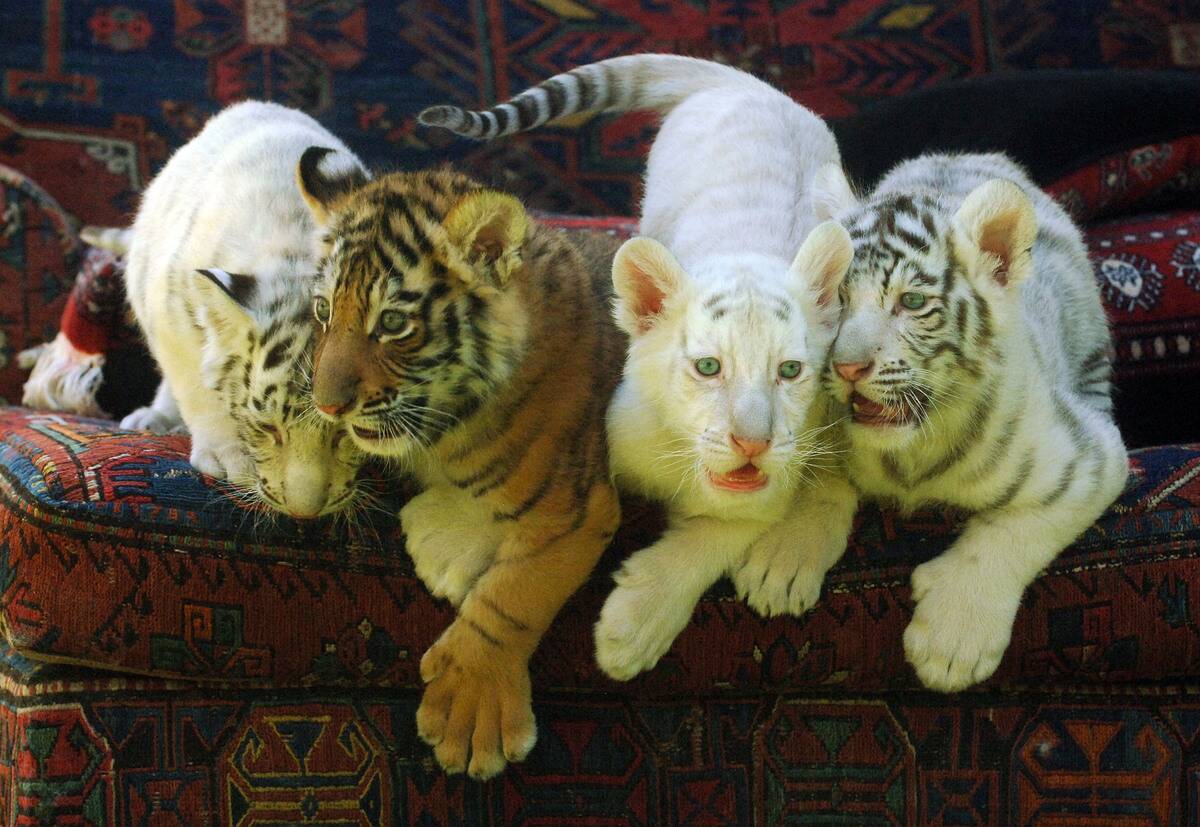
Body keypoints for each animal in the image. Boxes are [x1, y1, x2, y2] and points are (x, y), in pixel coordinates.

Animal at [120, 101, 368, 518]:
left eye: (342, 433)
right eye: (268, 426)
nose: (304, 512)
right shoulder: (169, 312)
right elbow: (197, 385)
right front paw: (229, 456)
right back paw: (153, 418)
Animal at [296, 152, 624, 779]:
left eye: (393, 323)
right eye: (324, 311)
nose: (327, 406)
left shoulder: (574, 507)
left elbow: (513, 597)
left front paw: (470, 717)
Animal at [739, 152, 1129, 692]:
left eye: (912, 303)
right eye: (837, 298)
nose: (847, 367)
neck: (909, 455)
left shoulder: (1086, 459)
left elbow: (1013, 532)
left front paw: (953, 641)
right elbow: (820, 484)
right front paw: (780, 561)